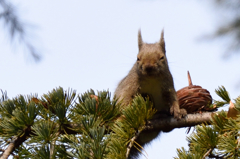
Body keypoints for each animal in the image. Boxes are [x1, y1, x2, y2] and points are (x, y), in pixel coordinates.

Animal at [113, 29, 187, 158]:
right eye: (137, 58)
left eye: (162, 57)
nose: (148, 67)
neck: (151, 78)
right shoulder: (130, 84)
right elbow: (125, 98)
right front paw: (123, 117)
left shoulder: (168, 85)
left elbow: (173, 99)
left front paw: (178, 110)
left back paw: (162, 115)